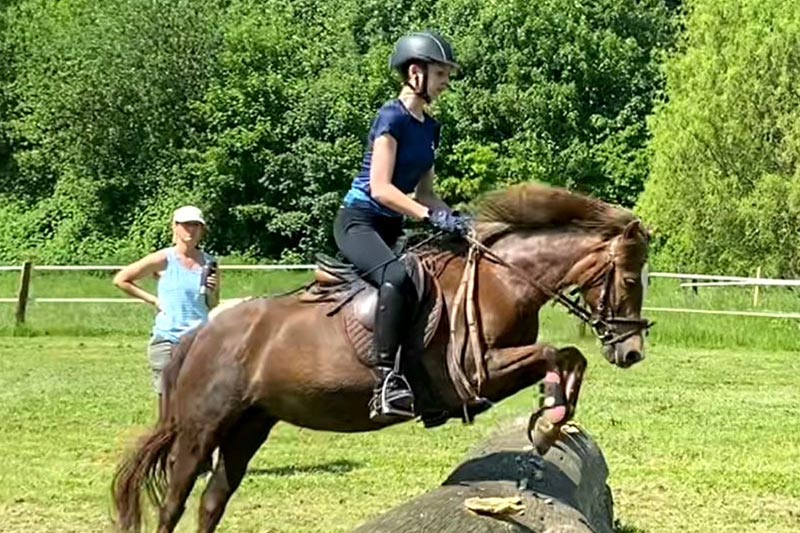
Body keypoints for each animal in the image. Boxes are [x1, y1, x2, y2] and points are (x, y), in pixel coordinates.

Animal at [111, 183, 648, 532]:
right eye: (628, 278)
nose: (632, 352)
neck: (503, 280)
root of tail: (201, 333)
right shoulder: (475, 375)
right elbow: (557, 353)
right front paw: (549, 419)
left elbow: (568, 356)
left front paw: (550, 421)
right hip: (203, 427)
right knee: (174, 502)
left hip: (249, 425)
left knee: (213, 500)